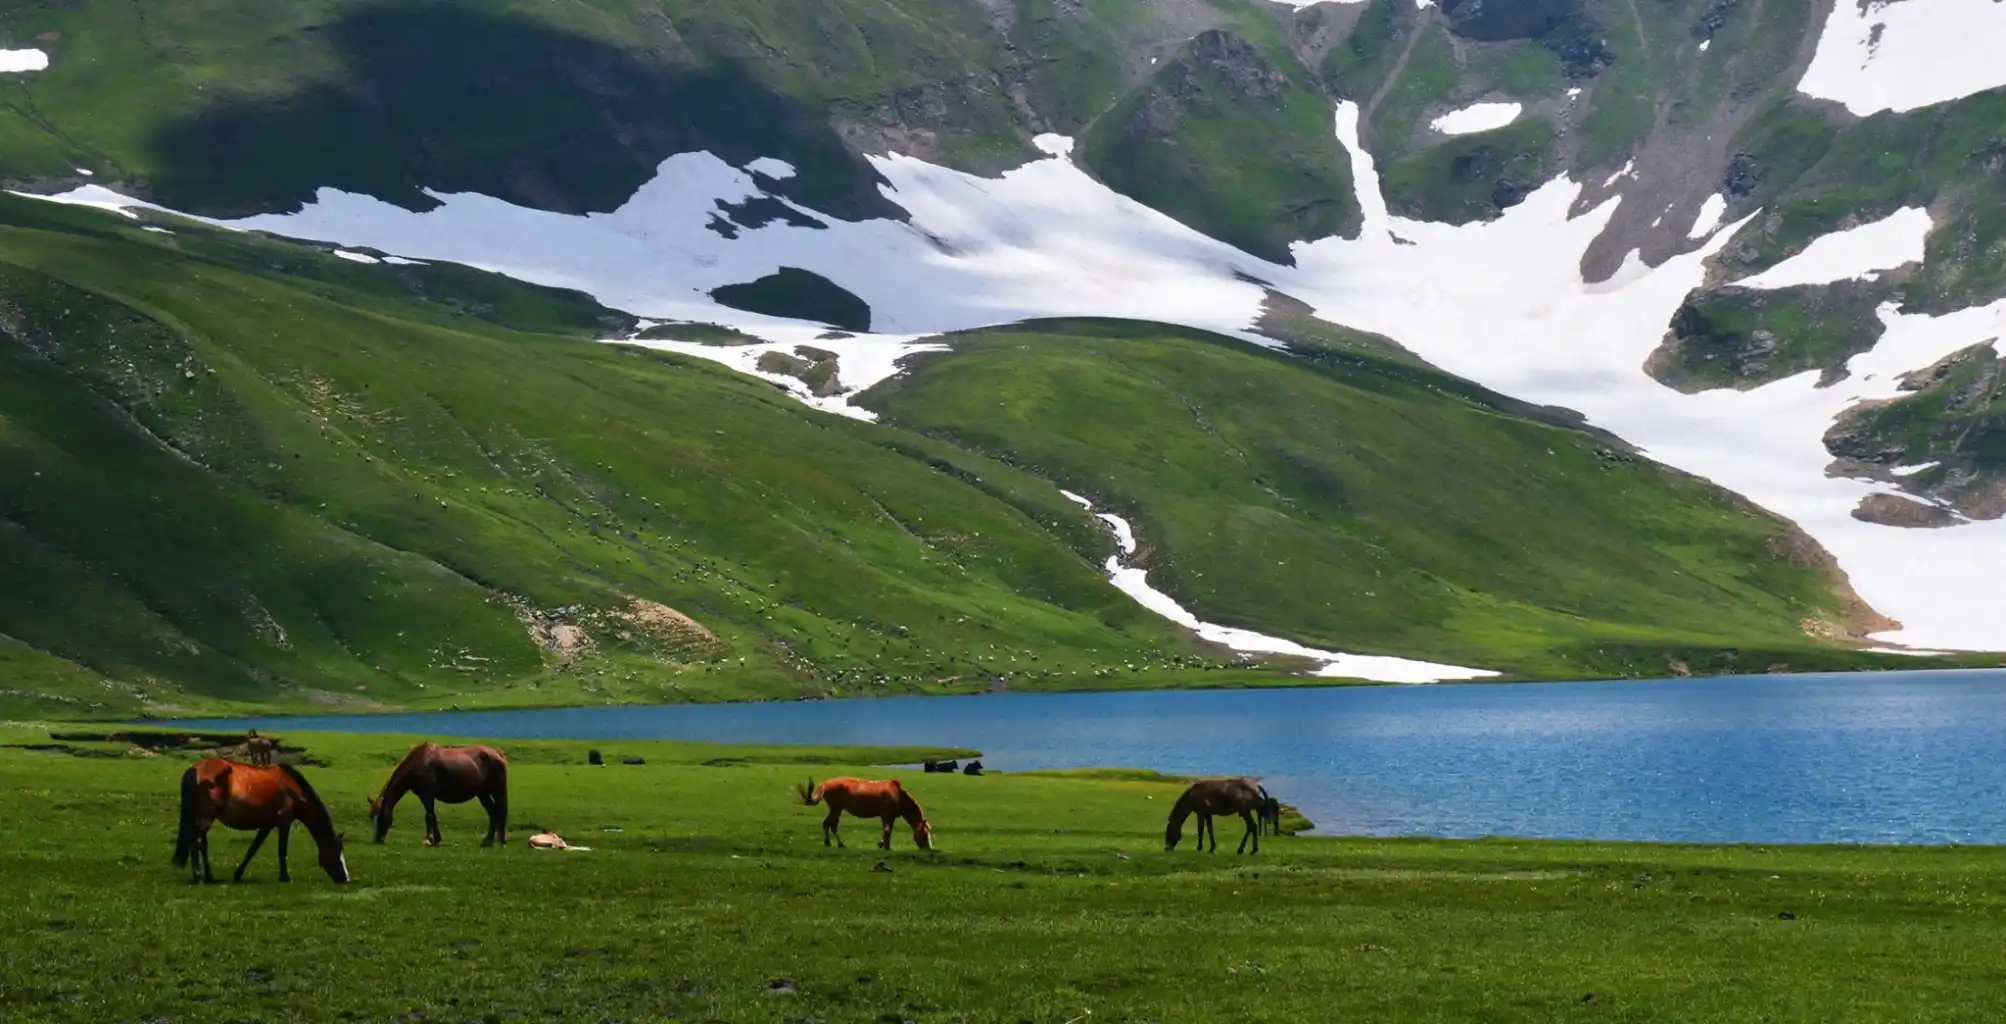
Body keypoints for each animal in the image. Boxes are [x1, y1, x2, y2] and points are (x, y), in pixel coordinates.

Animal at [173, 754, 353, 883]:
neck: (292, 788)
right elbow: (282, 850)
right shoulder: (284, 822)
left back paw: (209, 877)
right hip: (206, 817)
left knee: (202, 844)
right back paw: (198, 876)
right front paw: (285, 877)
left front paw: (238, 874)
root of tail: (196, 769)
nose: (346, 879)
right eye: (337, 854)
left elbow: (253, 848)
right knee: (196, 842)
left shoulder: (267, 825)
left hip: (204, 817)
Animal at [369, 738, 509, 843]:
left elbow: (430, 815)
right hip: (483, 794)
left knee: (500, 812)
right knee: (492, 812)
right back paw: (488, 840)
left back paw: (501, 841)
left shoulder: (427, 795)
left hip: (498, 792)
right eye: (371, 817)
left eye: (381, 816)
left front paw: (432, 839)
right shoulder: (424, 795)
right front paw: (433, 838)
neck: (420, 762)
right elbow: (430, 815)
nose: (377, 840)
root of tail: (497, 753)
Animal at [794, 779, 934, 851]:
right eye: (925, 833)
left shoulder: (891, 817)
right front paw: (886, 846)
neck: (898, 795)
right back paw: (838, 843)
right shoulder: (886, 816)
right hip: (836, 809)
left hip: (836, 809)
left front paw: (882, 844)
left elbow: (888, 831)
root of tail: (825, 784)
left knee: (828, 824)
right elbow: (887, 830)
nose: (928, 849)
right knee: (831, 825)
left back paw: (830, 843)